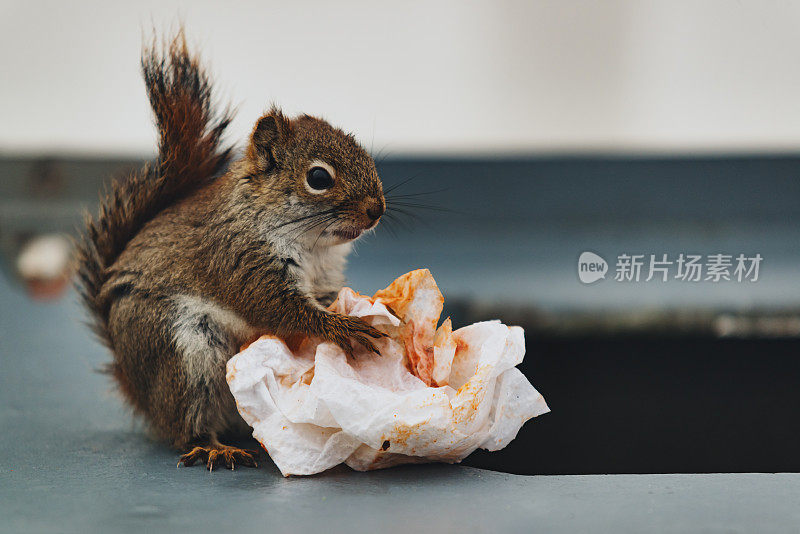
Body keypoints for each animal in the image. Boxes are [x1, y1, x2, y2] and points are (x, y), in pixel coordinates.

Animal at [75, 31, 388, 472]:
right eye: (318, 177)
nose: (377, 209)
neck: (313, 246)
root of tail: (138, 390)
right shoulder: (239, 258)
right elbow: (280, 308)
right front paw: (343, 328)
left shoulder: (323, 277)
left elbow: (323, 299)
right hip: (183, 352)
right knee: (187, 423)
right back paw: (213, 447)